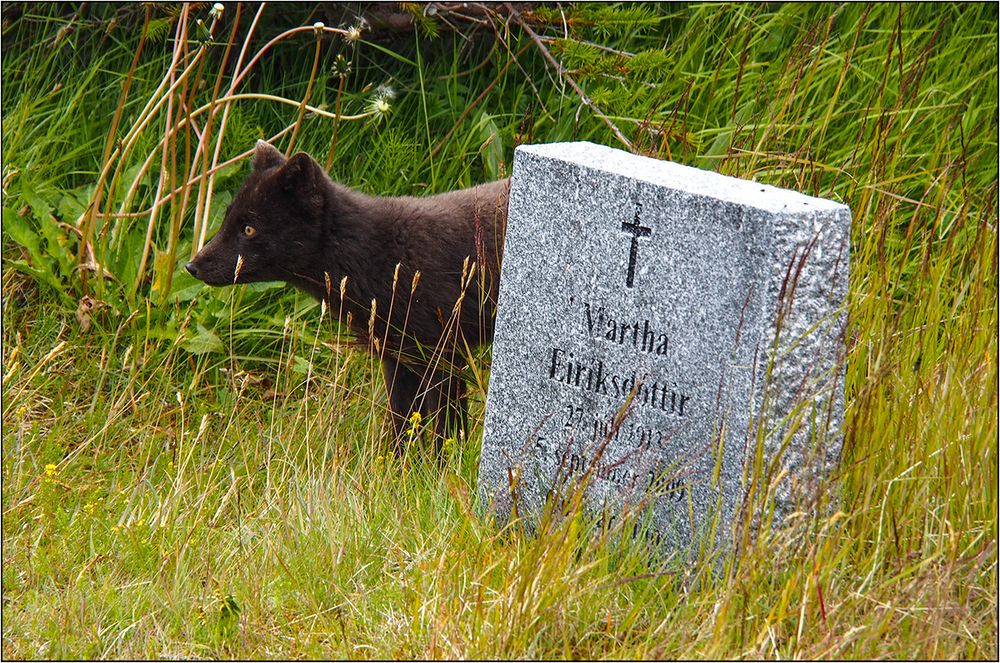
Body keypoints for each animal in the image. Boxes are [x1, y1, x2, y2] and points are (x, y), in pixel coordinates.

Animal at [188, 142, 508, 448]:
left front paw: (446, 463)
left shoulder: (445, 351)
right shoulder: (397, 357)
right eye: (226, 219)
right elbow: (402, 422)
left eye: (249, 229)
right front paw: (398, 464)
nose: (191, 266)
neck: (379, 255)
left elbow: (447, 426)